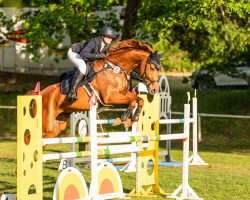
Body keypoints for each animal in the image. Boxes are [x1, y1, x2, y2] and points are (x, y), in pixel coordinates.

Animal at [32, 39, 165, 141]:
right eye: (152, 68)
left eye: (159, 69)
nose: (154, 89)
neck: (116, 68)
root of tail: (40, 94)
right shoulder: (109, 97)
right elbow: (132, 102)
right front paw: (121, 120)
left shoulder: (123, 93)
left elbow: (139, 100)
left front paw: (131, 120)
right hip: (47, 123)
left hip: (58, 125)